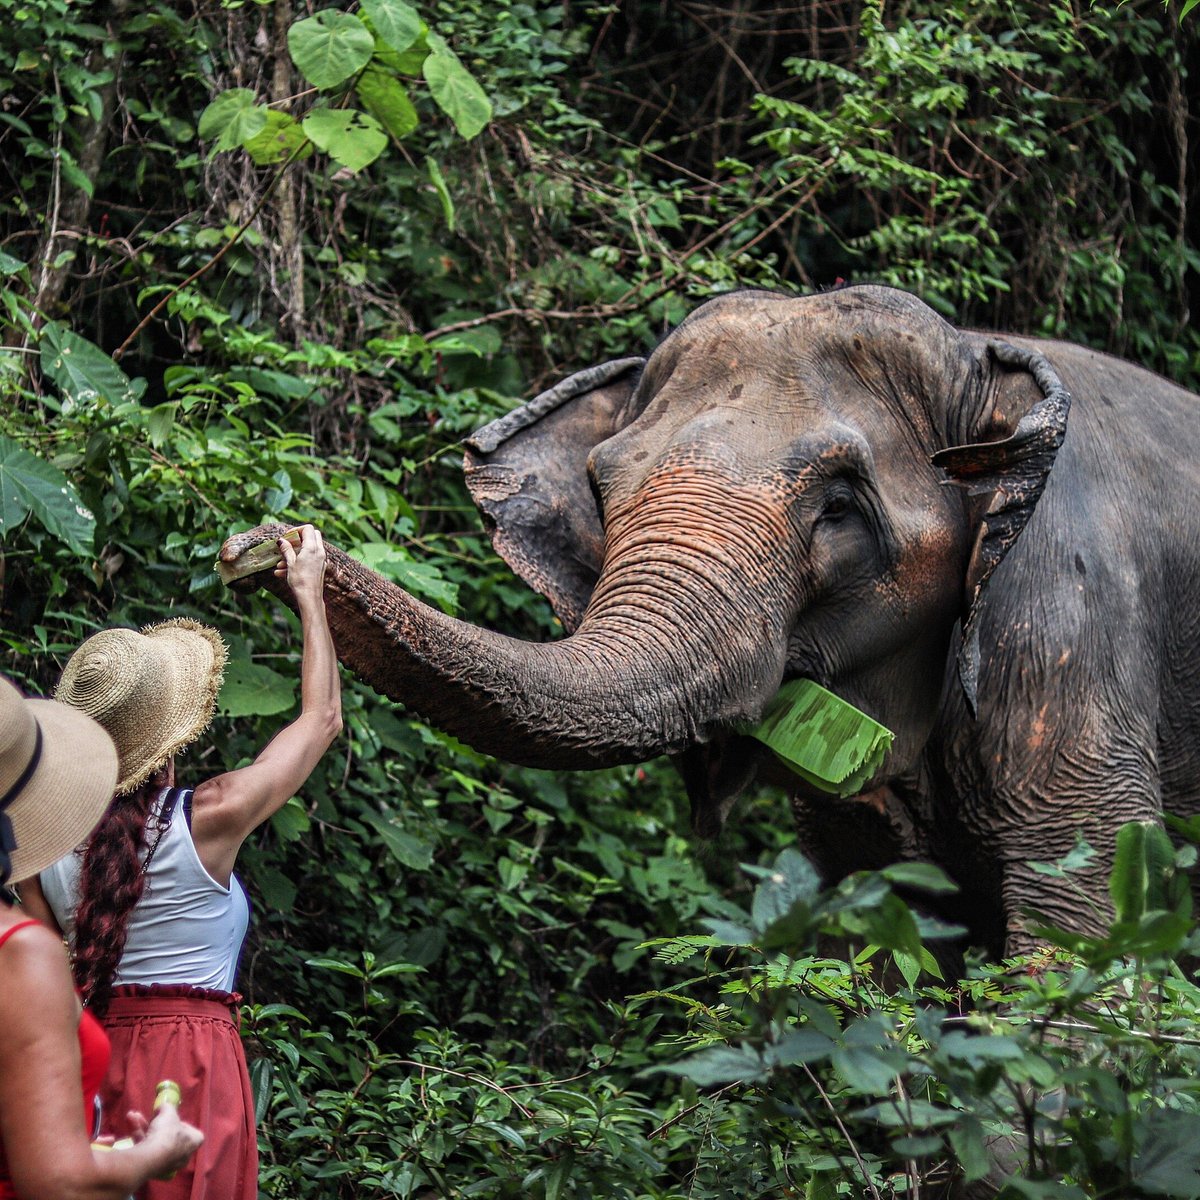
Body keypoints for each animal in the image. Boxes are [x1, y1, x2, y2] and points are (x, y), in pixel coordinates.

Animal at [220, 283, 1200, 955]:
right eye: (601, 485)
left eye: (841, 504)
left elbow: (1084, 940)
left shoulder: (1065, 629)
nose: (258, 543)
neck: (982, 356)